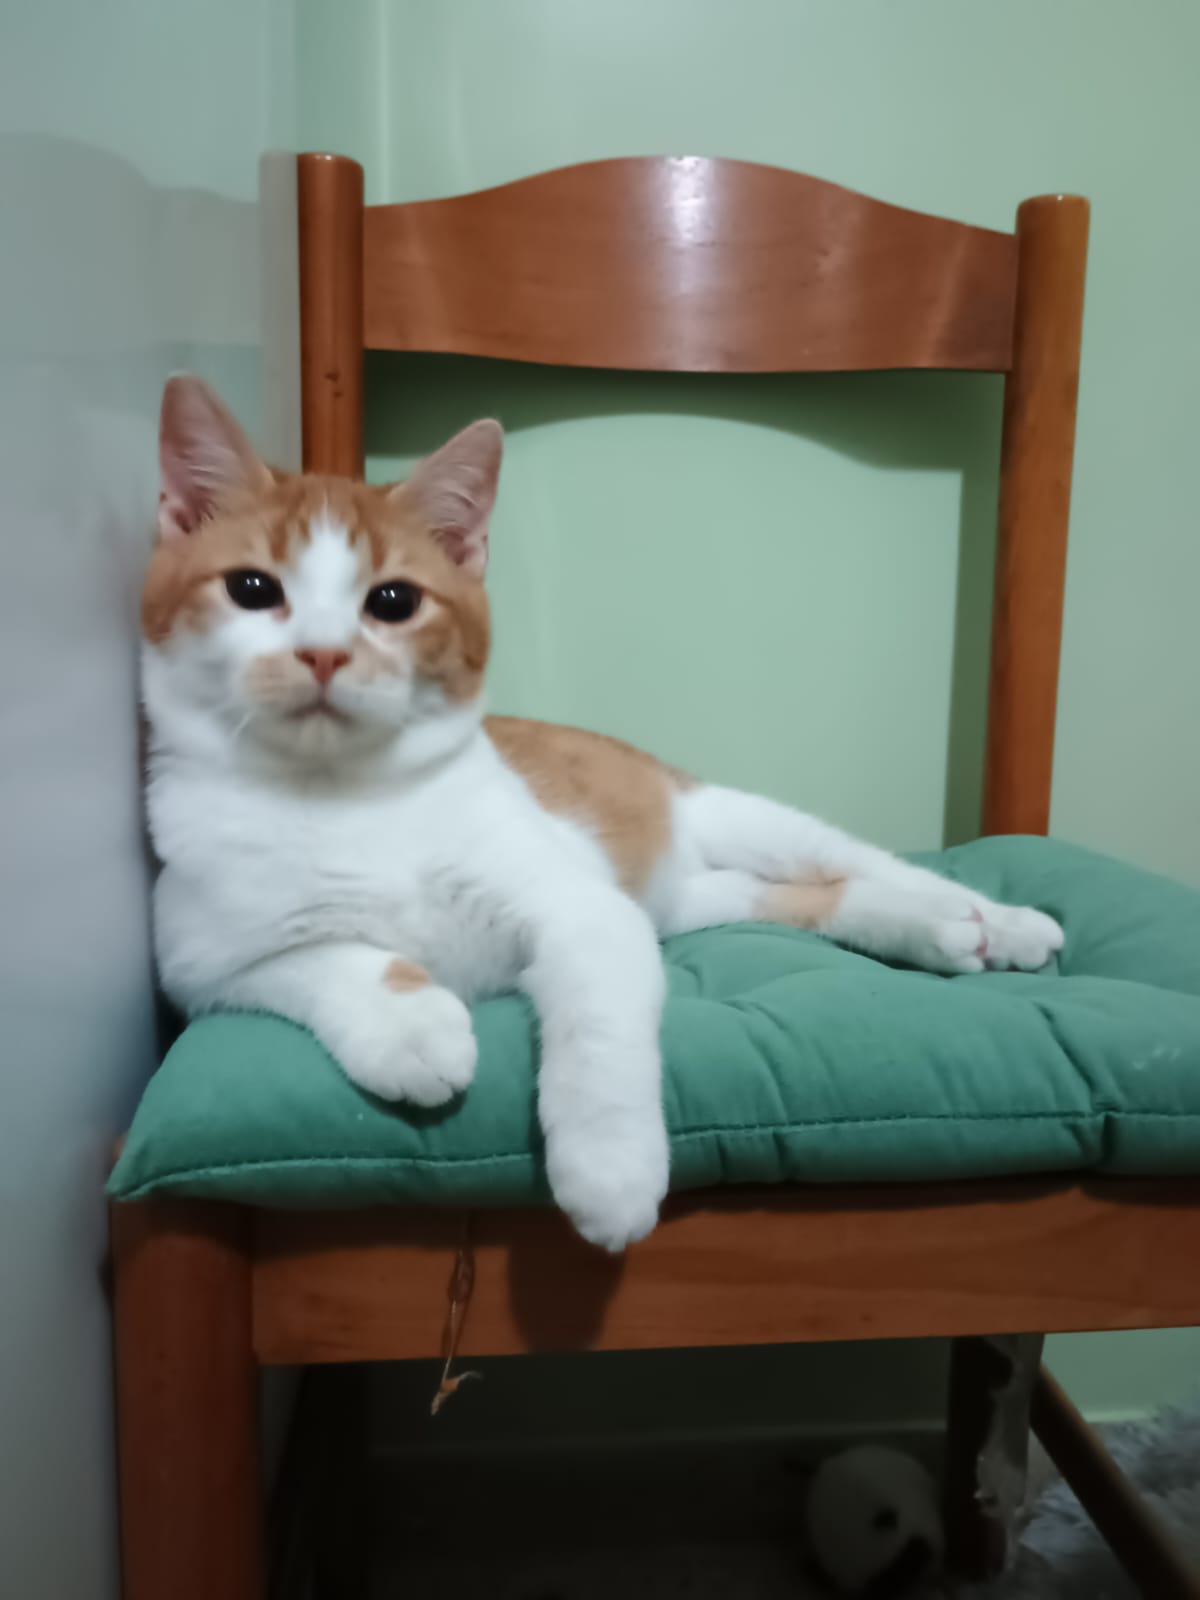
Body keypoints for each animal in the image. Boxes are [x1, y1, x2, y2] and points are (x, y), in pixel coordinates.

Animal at [142, 375, 1063, 1252]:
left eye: (394, 601)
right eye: (252, 588)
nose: (324, 654)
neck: (346, 794)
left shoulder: (586, 912)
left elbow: (599, 1034)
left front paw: (610, 1174)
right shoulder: (200, 962)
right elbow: (323, 960)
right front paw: (413, 1027)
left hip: (735, 820)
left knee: (867, 865)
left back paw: (994, 920)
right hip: (681, 899)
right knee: (797, 898)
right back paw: (936, 932)